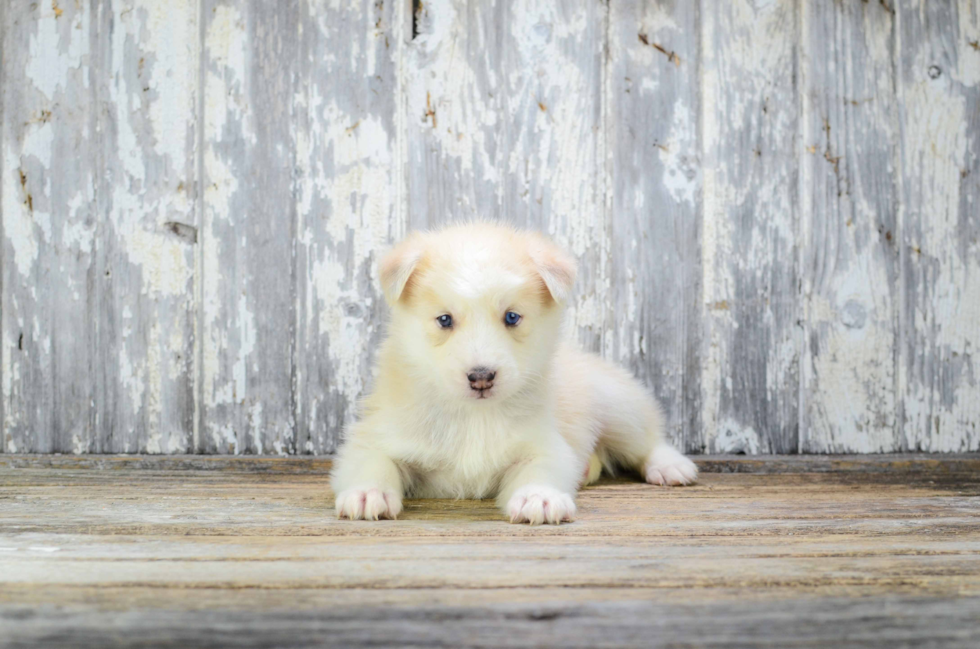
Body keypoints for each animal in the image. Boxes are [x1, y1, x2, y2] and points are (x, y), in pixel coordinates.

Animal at [332, 225, 696, 524]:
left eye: (511, 317)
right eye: (445, 319)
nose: (481, 376)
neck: (473, 416)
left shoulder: (544, 443)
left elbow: (539, 468)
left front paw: (539, 497)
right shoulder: (376, 435)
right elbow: (374, 462)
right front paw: (367, 493)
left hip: (619, 407)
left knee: (648, 440)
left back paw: (669, 466)